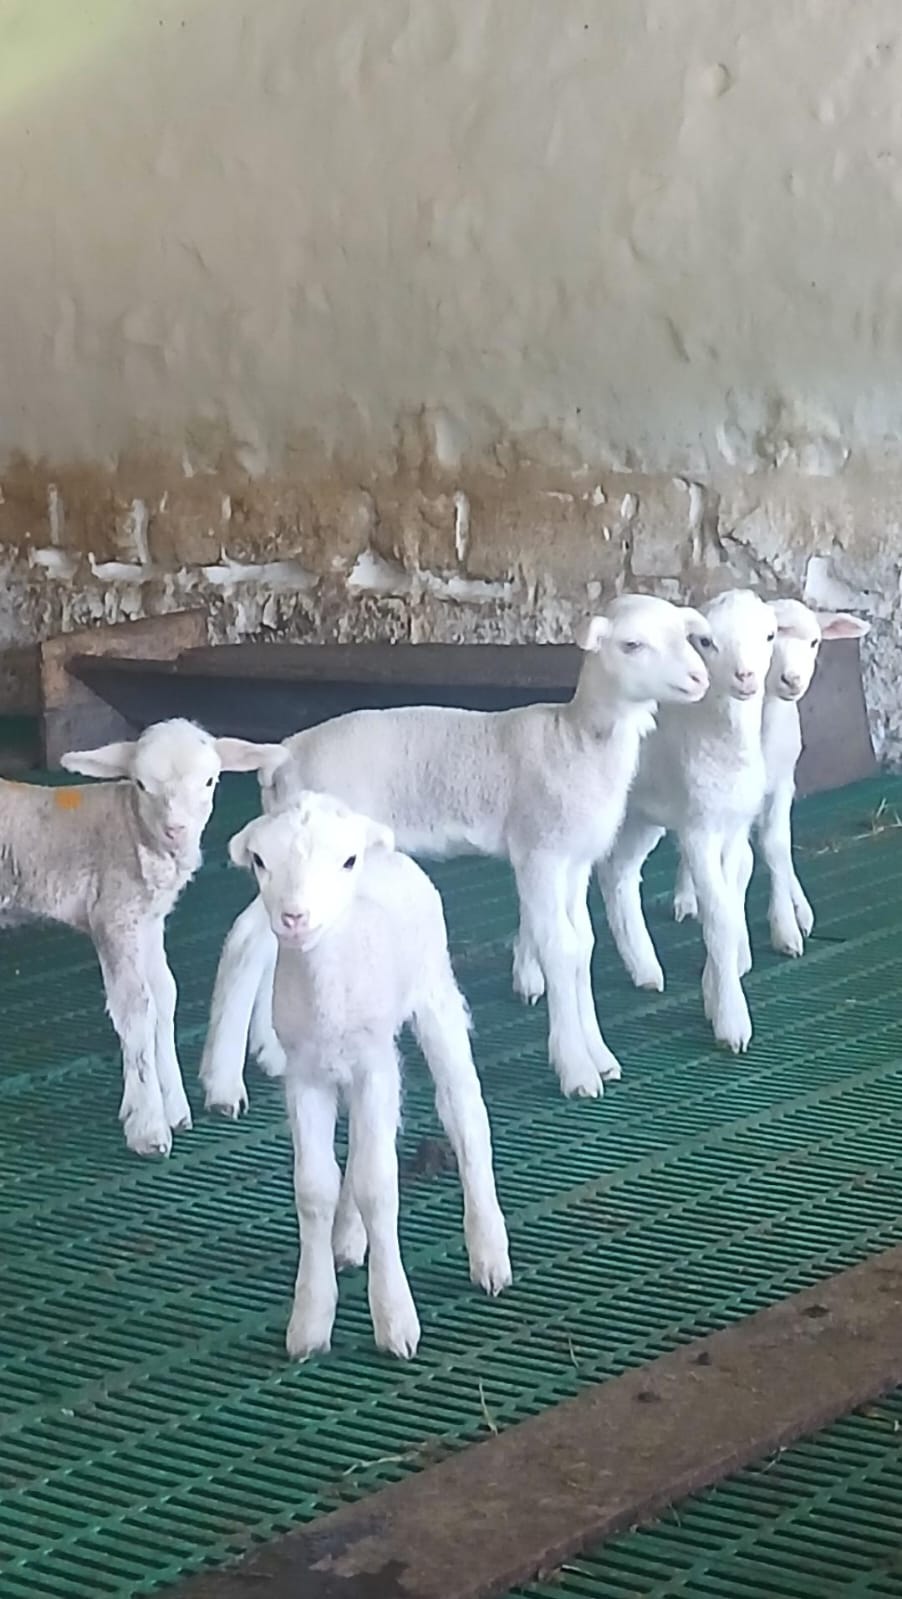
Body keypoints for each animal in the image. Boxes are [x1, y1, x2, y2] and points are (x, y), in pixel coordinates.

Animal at [1, 719, 268, 1157]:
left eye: (210, 780)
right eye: (141, 784)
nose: (175, 830)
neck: (130, 829)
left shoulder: (148, 921)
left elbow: (165, 996)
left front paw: (174, 1106)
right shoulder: (114, 915)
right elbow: (136, 1008)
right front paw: (148, 1124)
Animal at [200, 593, 710, 1116]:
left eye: (686, 636)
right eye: (632, 645)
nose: (700, 678)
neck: (576, 738)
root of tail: (285, 753)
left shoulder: (574, 859)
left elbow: (581, 945)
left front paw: (600, 1054)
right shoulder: (540, 852)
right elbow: (559, 947)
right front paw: (576, 1068)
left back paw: (271, 1051)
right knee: (245, 941)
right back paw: (223, 1086)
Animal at [227, 791, 512, 1360]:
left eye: (346, 862)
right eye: (260, 861)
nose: (294, 917)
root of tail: (389, 851)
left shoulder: (374, 1066)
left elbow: (378, 1184)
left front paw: (395, 1320)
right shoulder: (306, 1074)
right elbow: (316, 1187)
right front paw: (310, 1322)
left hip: (435, 996)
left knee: (463, 1115)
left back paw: (489, 1253)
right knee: (360, 1151)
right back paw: (348, 1240)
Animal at [596, 589, 778, 1054]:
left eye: (769, 635)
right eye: (707, 642)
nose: (745, 676)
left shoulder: (732, 829)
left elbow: (729, 906)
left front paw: (716, 991)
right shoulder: (699, 830)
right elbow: (718, 916)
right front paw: (732, 1021)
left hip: (644, 817)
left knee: (620, 875)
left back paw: (644, 969)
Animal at [671, 600, 870, 957]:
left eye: (814, 642)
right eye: (772, 639)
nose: (792, 679)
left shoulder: (780, 784)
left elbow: (776, 846)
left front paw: (786, 925)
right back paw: (686, 896)